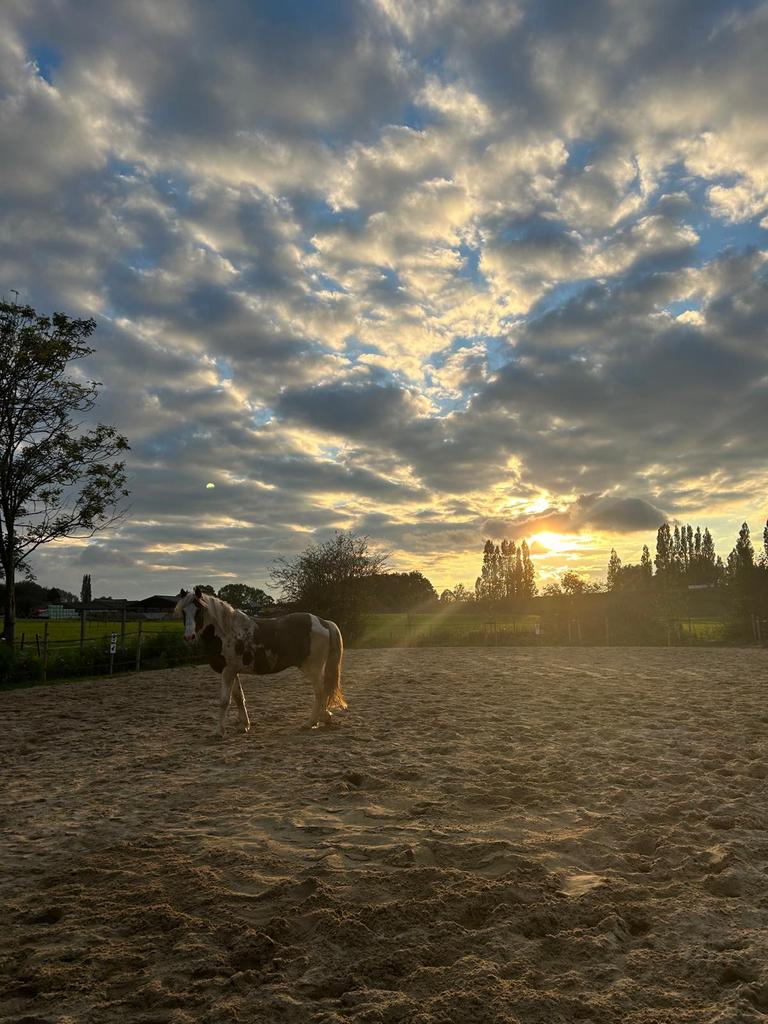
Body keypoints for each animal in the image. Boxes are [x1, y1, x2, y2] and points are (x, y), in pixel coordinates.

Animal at [174, 587, 346, 737]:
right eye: (183, 611)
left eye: (199, 610)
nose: (189, 637)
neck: (226, 633)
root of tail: (323, 622)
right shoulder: (233, 671)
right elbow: (239, 698)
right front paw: (244, 726)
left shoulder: (227, 671)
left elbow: (224, 701)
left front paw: (218, 732)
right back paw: (324, 718)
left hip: (313, 669)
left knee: (320, 692)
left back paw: (311, 722)